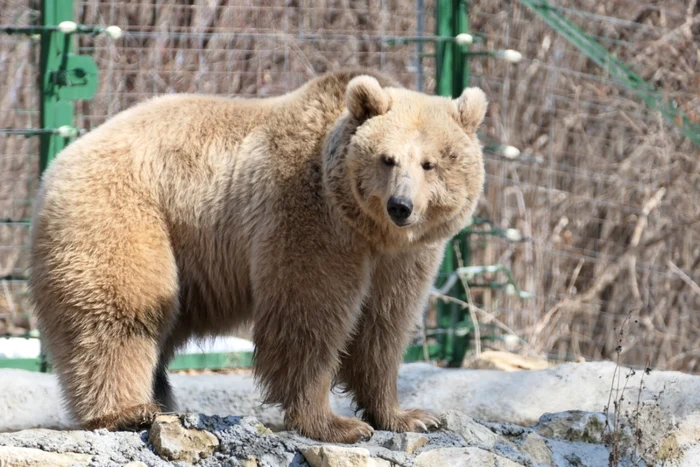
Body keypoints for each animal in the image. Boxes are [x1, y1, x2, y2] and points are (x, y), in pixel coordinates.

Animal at [27, 68, 486, 442]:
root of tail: (60, 161)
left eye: (430, 163)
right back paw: (128, 410)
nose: (401, 206)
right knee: (122, 311)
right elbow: (309, 315)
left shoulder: (404, 259)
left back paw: (159, 399)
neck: (367, 230)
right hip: (125, 212)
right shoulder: (309, 217)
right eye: (387, 158)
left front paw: (409, 415)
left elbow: (385, 327)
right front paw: (335, 423)